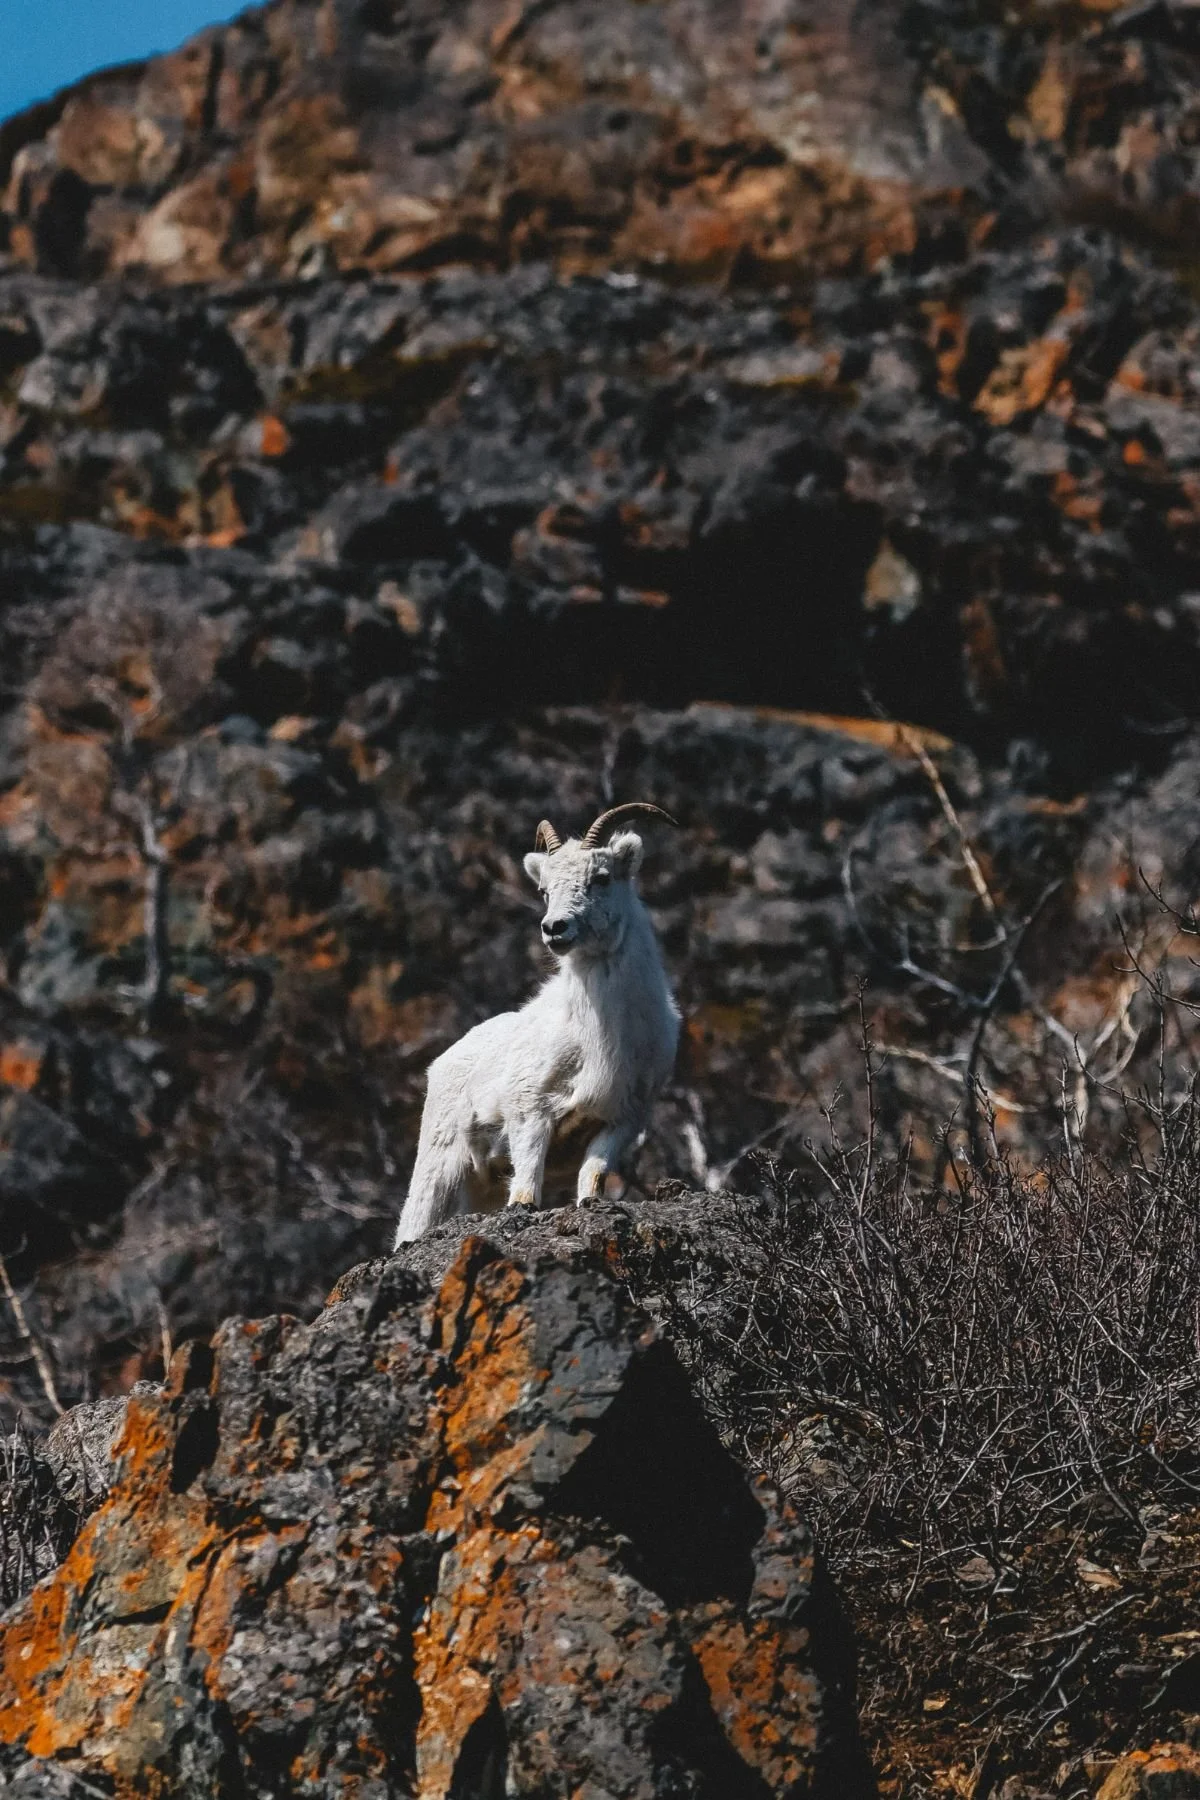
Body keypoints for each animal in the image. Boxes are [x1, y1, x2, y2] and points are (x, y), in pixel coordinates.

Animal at [393, 802, 680, 1244]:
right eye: (545, 890)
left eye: (601, 878)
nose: (554, 928)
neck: (600, 1038)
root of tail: (440, 1065)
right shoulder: (531, 1112)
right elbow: (527, 1184)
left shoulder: (620, 1121)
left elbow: (593, 1176)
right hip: (438, 1168)